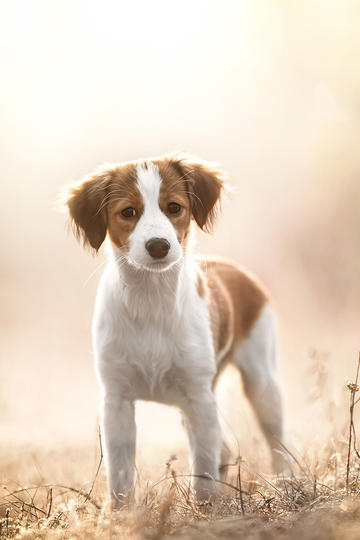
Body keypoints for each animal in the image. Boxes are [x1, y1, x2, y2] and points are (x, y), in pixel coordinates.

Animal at [63, 152, 286, 506]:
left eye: (174, 207)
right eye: (129, 212)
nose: (158, 246)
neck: (151, 301)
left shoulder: (199, 397)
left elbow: (204, 469)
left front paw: (206, 511)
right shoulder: (116, 400)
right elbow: (120, 472)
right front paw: (121, 513)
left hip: (261, 382)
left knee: (278, 443)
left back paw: (289, 485)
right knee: (224, 448)